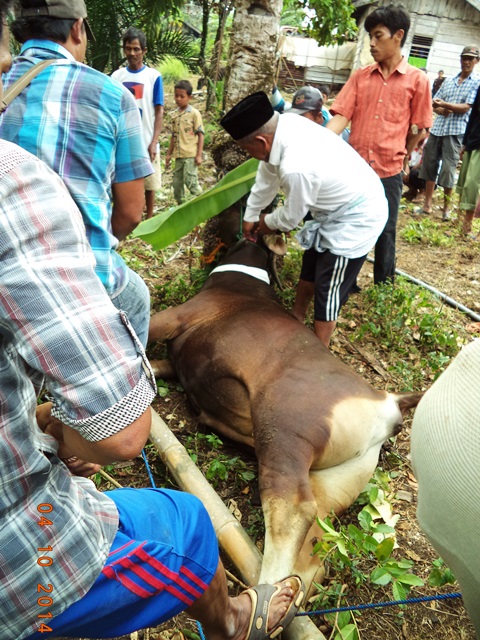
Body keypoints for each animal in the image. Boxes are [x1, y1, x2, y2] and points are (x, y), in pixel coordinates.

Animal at [149, 238, 420, 596]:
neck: (244, 281)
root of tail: (388, 404)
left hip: (283, 432)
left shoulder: (179, 316)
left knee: (292, 511)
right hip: (337, 477)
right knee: (316, 544)